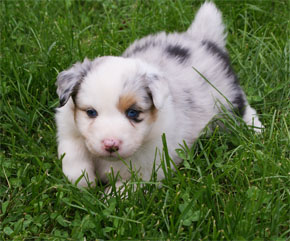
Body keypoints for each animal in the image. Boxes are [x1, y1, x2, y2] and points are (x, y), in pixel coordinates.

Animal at [53, 1, 262, 188]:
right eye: (91, 112)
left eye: (133, 113)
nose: (110, 144)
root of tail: (201, 39)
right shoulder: (67, 127)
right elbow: (72, 153)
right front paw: (83, 180)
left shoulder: (153, 165)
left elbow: (130, 185)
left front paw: (111, 196)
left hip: (226, 98)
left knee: (243, 109)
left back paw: (256, 130)